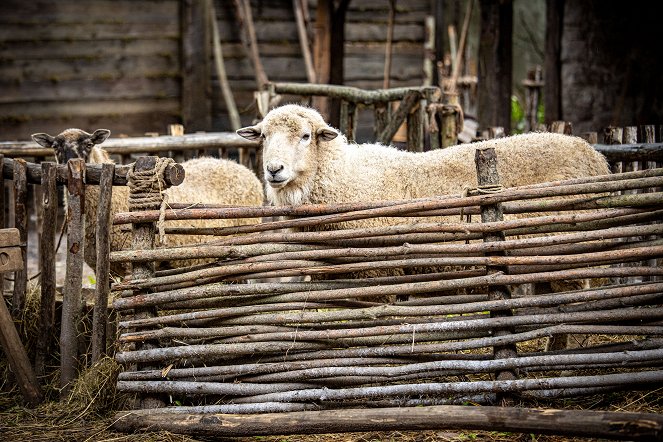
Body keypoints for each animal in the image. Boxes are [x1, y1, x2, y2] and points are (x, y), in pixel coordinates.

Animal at [31, 128, 264, 278]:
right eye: (55, 146)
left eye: (89, 144)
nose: (67, 164)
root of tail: (240, 167)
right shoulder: (102, 269)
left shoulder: (128, 261)